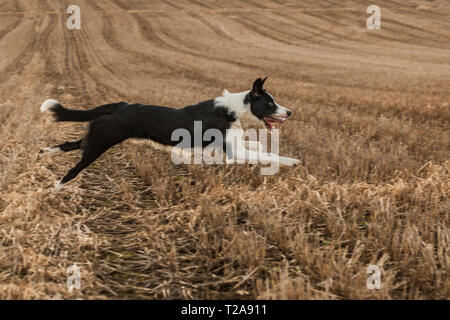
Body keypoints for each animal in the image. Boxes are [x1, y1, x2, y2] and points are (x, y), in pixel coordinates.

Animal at [38, 77, 298, 191]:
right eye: (270, 104)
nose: (290, 112)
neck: (234, 110)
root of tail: (118, 105)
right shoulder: (233, 152)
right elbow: (269, 155)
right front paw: (291, 161)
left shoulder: (235, 147)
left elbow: (260, 148)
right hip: (101, 143)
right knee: (73, 168)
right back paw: (55, 188)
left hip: (97, 137)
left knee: (70, 144)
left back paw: (43, 153)